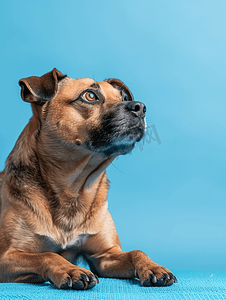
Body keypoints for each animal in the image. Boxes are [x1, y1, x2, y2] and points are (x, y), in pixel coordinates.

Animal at [0, 69, 177, 290]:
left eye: (123, 98)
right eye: (90, 96)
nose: (140, 107)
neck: (72, 190)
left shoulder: (105, 256)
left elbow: (136, 252)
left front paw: (152, 266)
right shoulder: (7, 257)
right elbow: (47, 255)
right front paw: (70, 269)